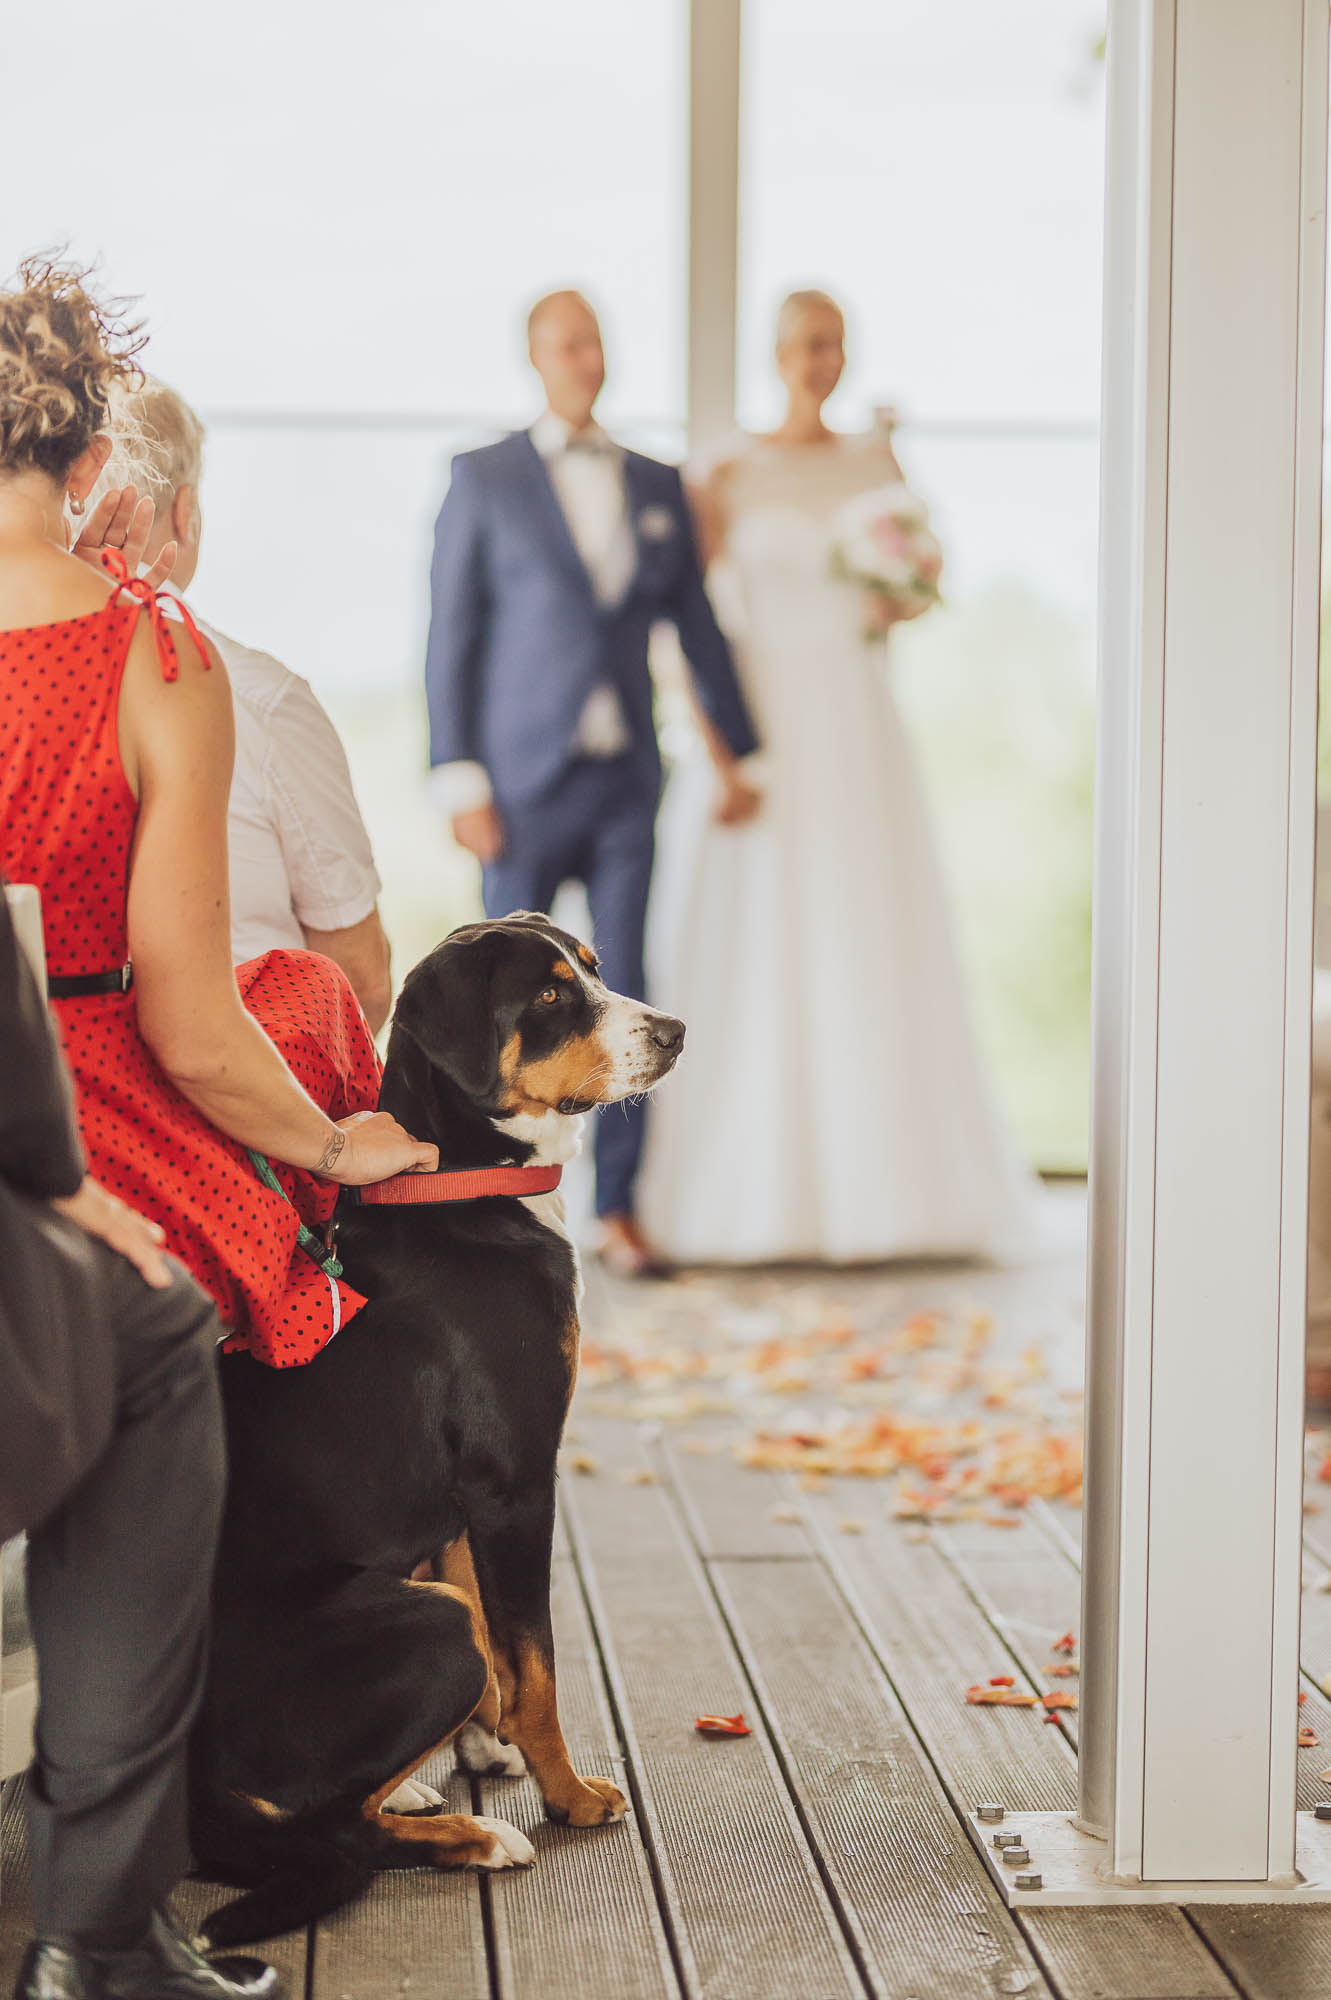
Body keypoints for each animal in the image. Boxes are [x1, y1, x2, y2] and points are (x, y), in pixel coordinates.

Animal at [190, 916, 683, 1944]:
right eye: (548, 995)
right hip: (429, 1624)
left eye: (592, 968)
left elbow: (505, 1651)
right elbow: (534, 1665)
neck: (462, 1191)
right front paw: (568, 1794)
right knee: (338, 1832)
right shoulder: (515, 1483)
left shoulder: (465, 1503)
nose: (675, 1031)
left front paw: (484, 1744)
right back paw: (473, 1837)